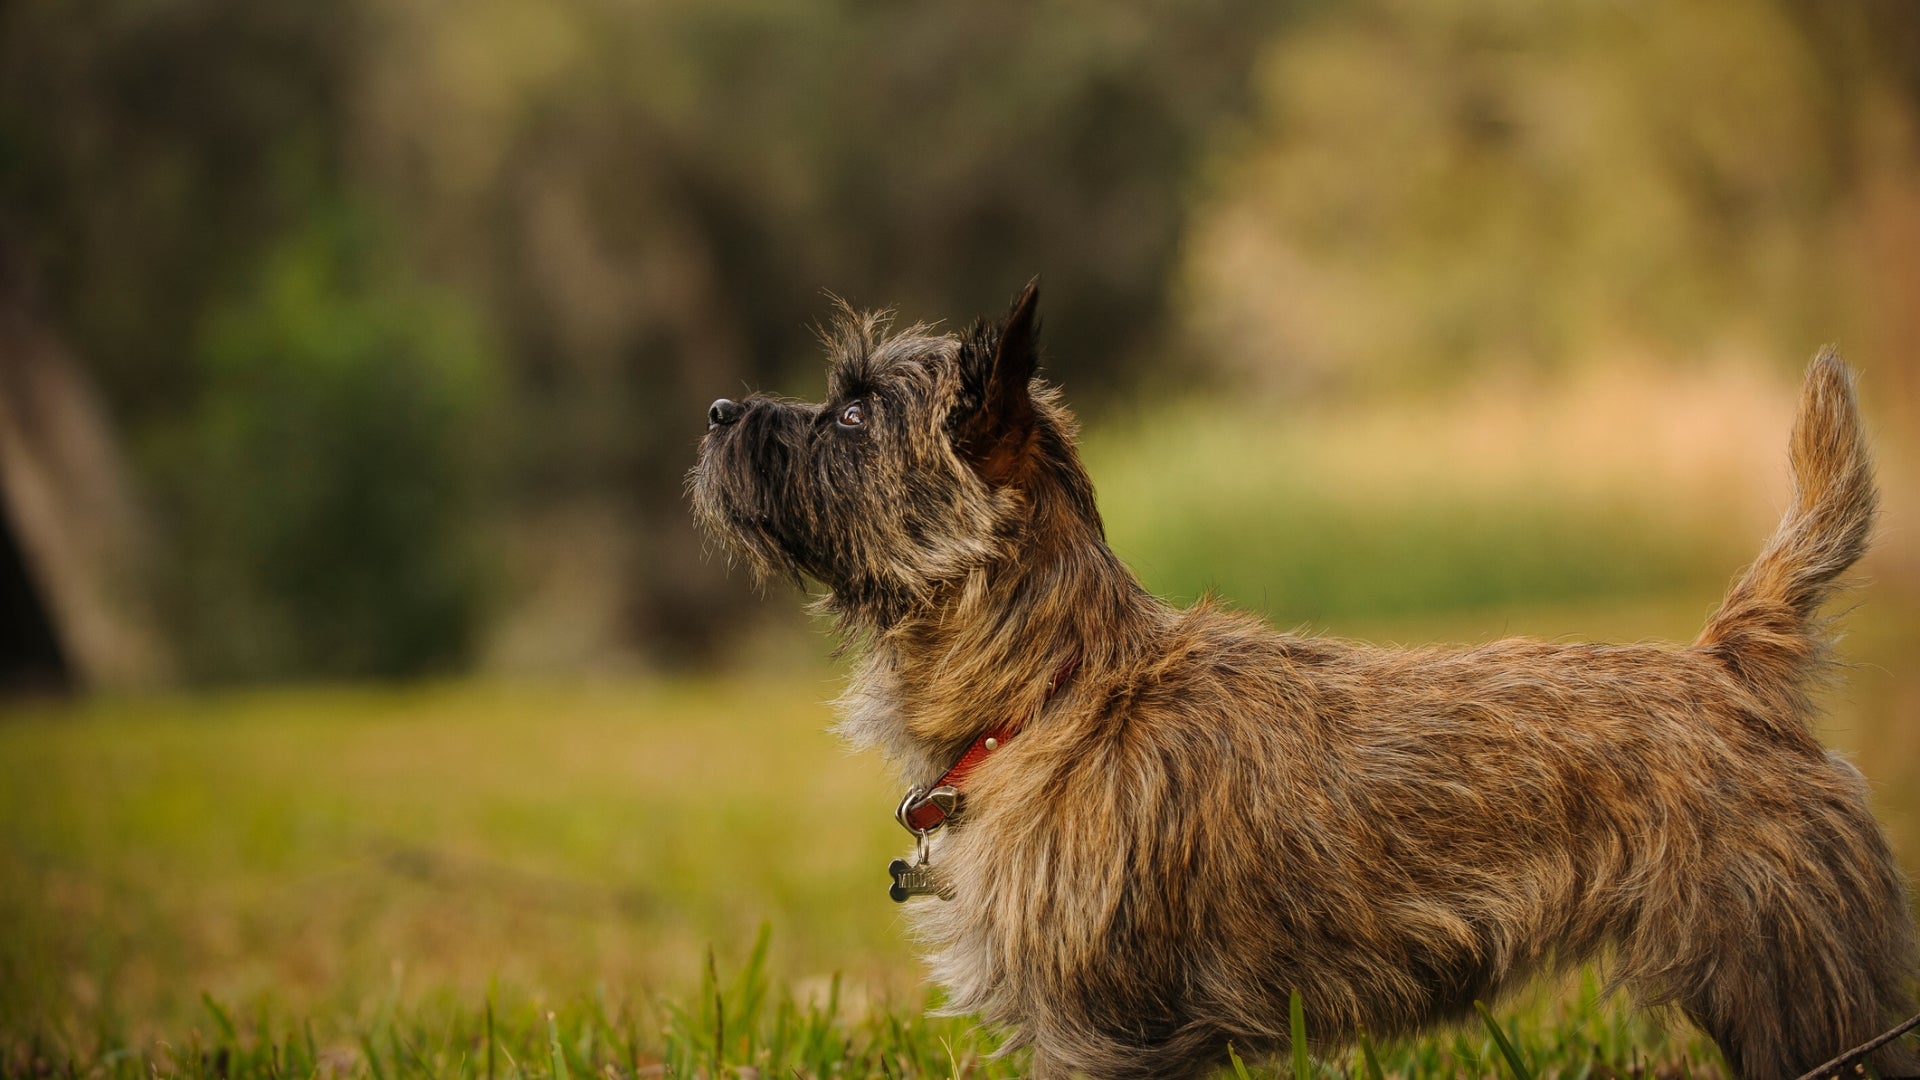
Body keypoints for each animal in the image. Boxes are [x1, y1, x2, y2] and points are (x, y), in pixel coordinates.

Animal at [695, 282, 1920, 1068]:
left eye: (854, 412)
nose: (713, 410)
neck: (1057, 692)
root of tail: (1730, 664)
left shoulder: (1100, 1036)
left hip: (1790, 981)